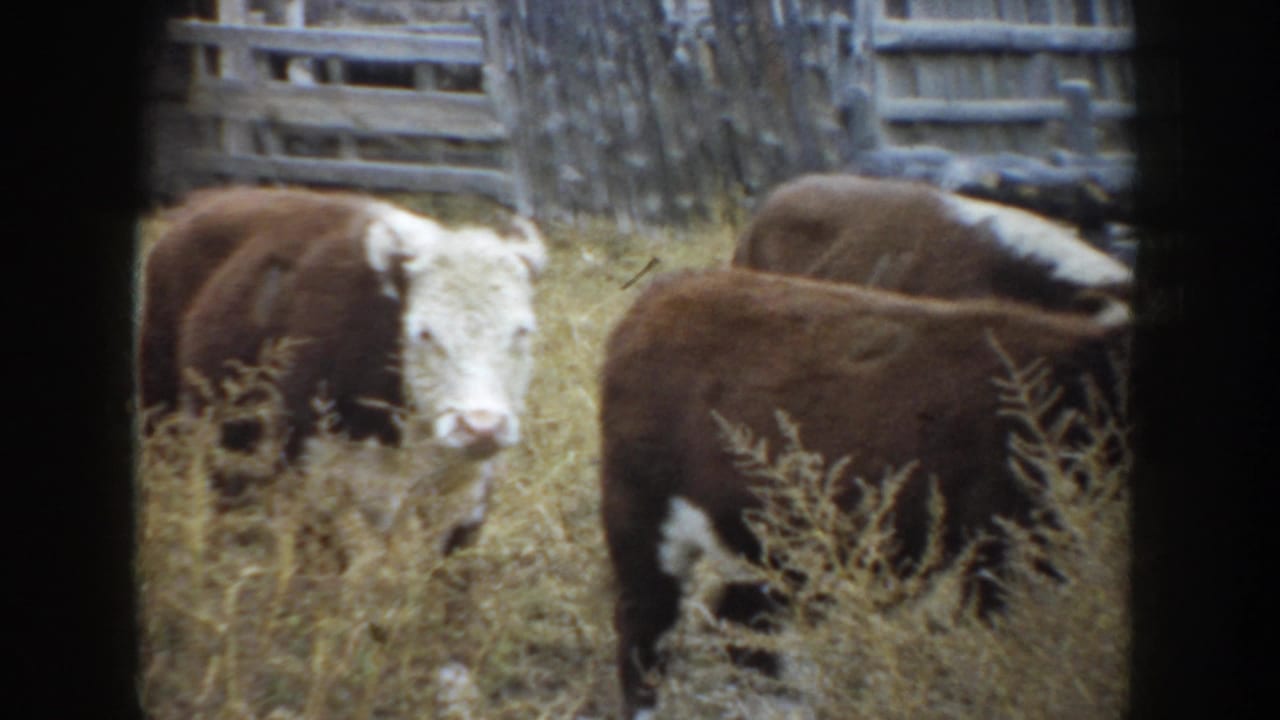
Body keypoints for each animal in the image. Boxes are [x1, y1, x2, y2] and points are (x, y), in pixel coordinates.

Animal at [600, 268, 1128, 718]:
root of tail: (664, 293)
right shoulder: (1007, 549)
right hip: (641, 519)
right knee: (645, 631)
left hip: (770, 550)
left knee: (743, 629)